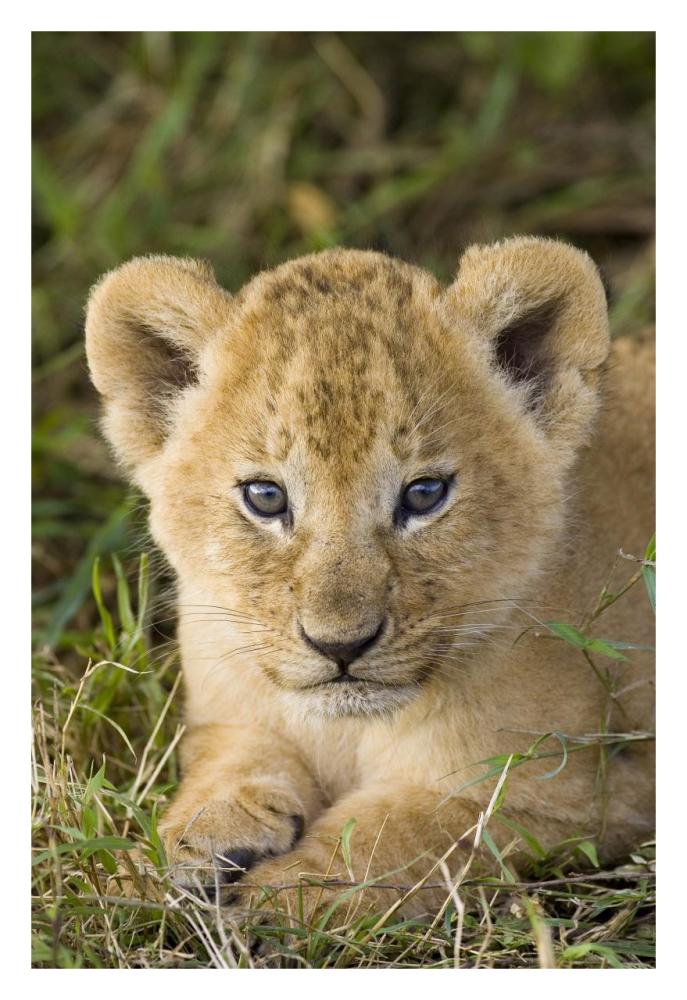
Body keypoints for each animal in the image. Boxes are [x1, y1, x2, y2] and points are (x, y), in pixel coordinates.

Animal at [85, 237, 654, 920]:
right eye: (265, 496)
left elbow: (393, 838)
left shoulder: (571, 792)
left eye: (425, 494)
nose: (341, 646)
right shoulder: (227, 715)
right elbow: (230, 766)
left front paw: (273, 904)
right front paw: (169, 855)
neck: (346, 731)